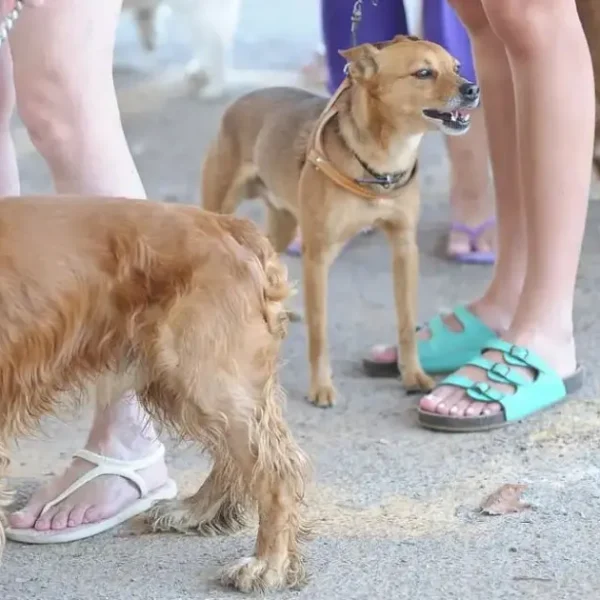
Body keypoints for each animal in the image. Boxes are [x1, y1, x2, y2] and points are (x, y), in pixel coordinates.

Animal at [204, 34, 480, 408]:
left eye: (457, 67)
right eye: (423, 73)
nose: (473, 88)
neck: (383, 162)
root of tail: (239, 102)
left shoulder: (404, 247)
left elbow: (406, 322)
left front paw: (412, 374)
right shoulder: (318, 257)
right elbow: (319, 332)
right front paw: (321, 387)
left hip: (284, 224)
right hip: (221, 209)